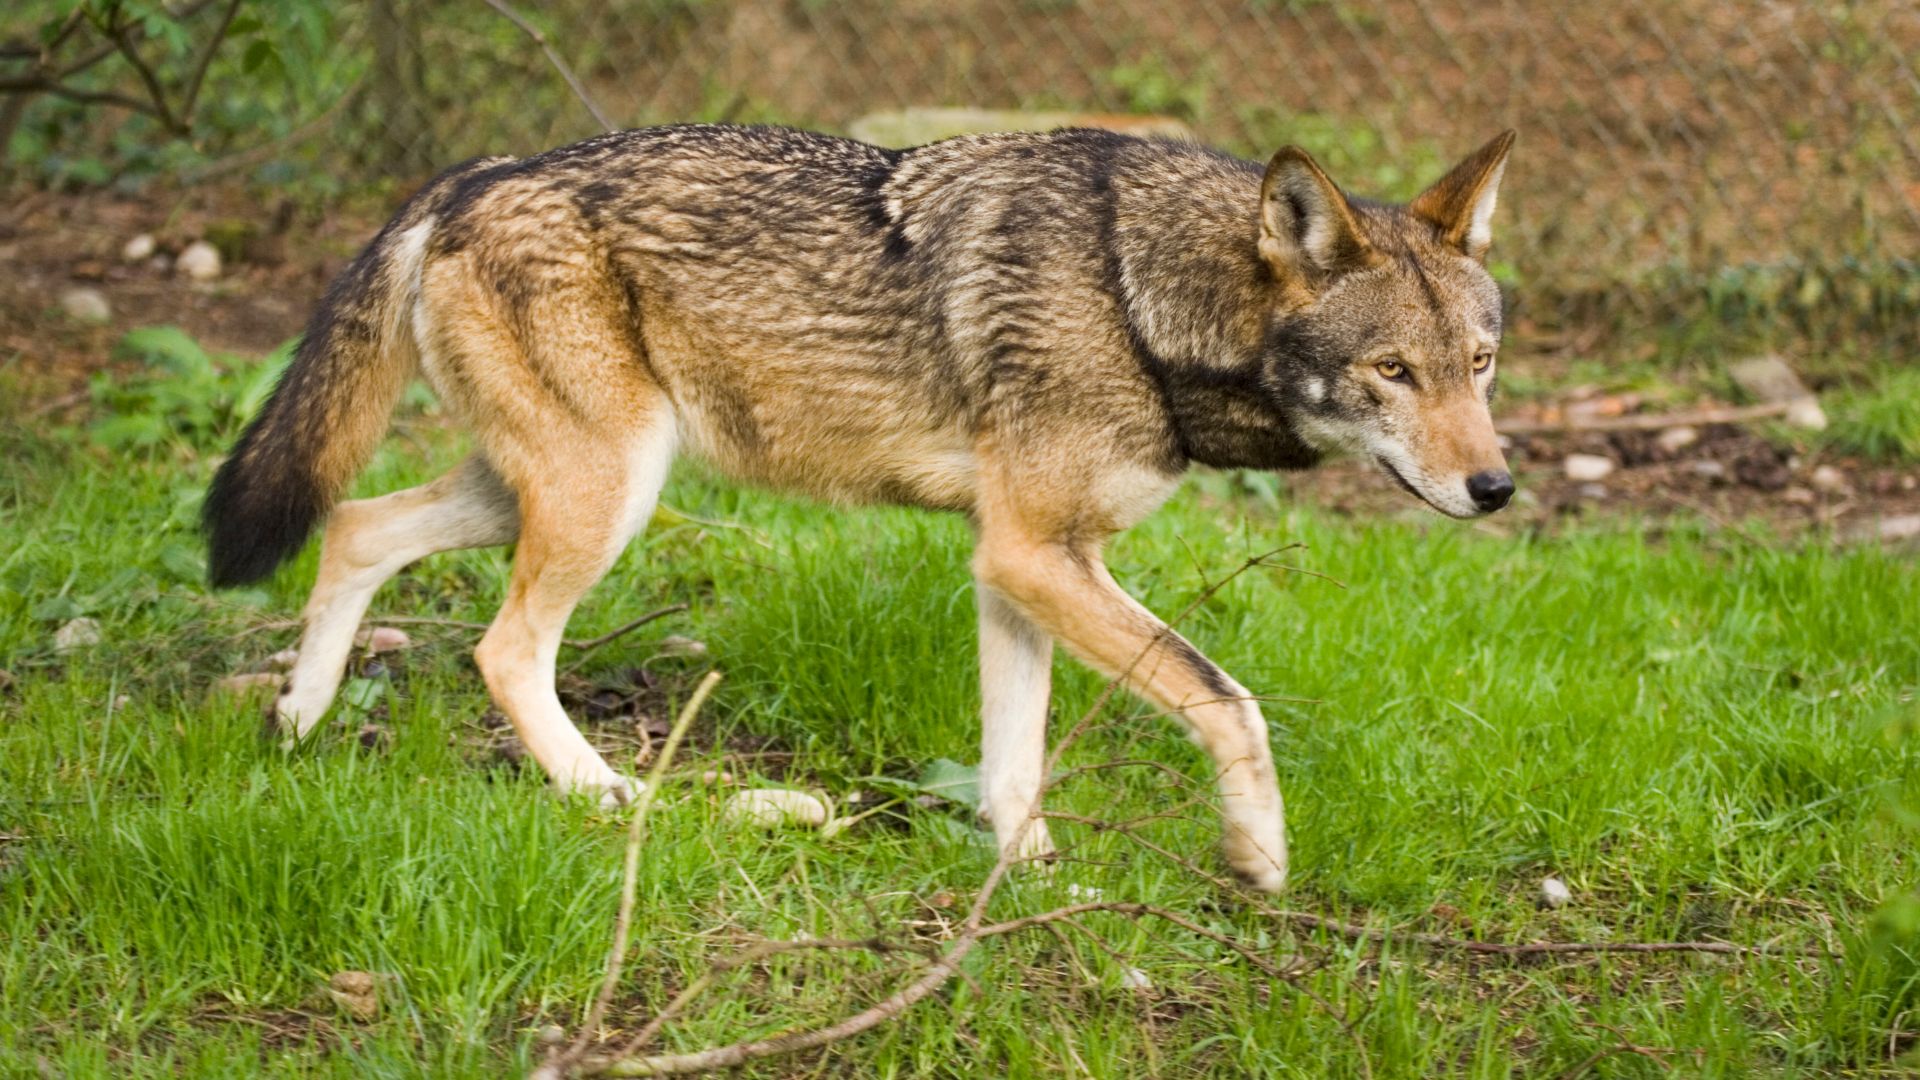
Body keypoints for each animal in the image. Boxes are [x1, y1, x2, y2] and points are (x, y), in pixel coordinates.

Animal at [203, 123, 1517, 892]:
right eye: (1393, 372)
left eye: (1480, 364)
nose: (1496, 487)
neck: (1137, 296)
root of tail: (467, 174)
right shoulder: (1036, 554)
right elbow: (1228, 702)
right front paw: (1258, 857)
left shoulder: (1017, 566)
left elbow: (1013, 763)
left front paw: (1027, 882)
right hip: (604, 498)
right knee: (500, 646)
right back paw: (607, 797)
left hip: (551, 490)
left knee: (355, 526)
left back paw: (299, 721)